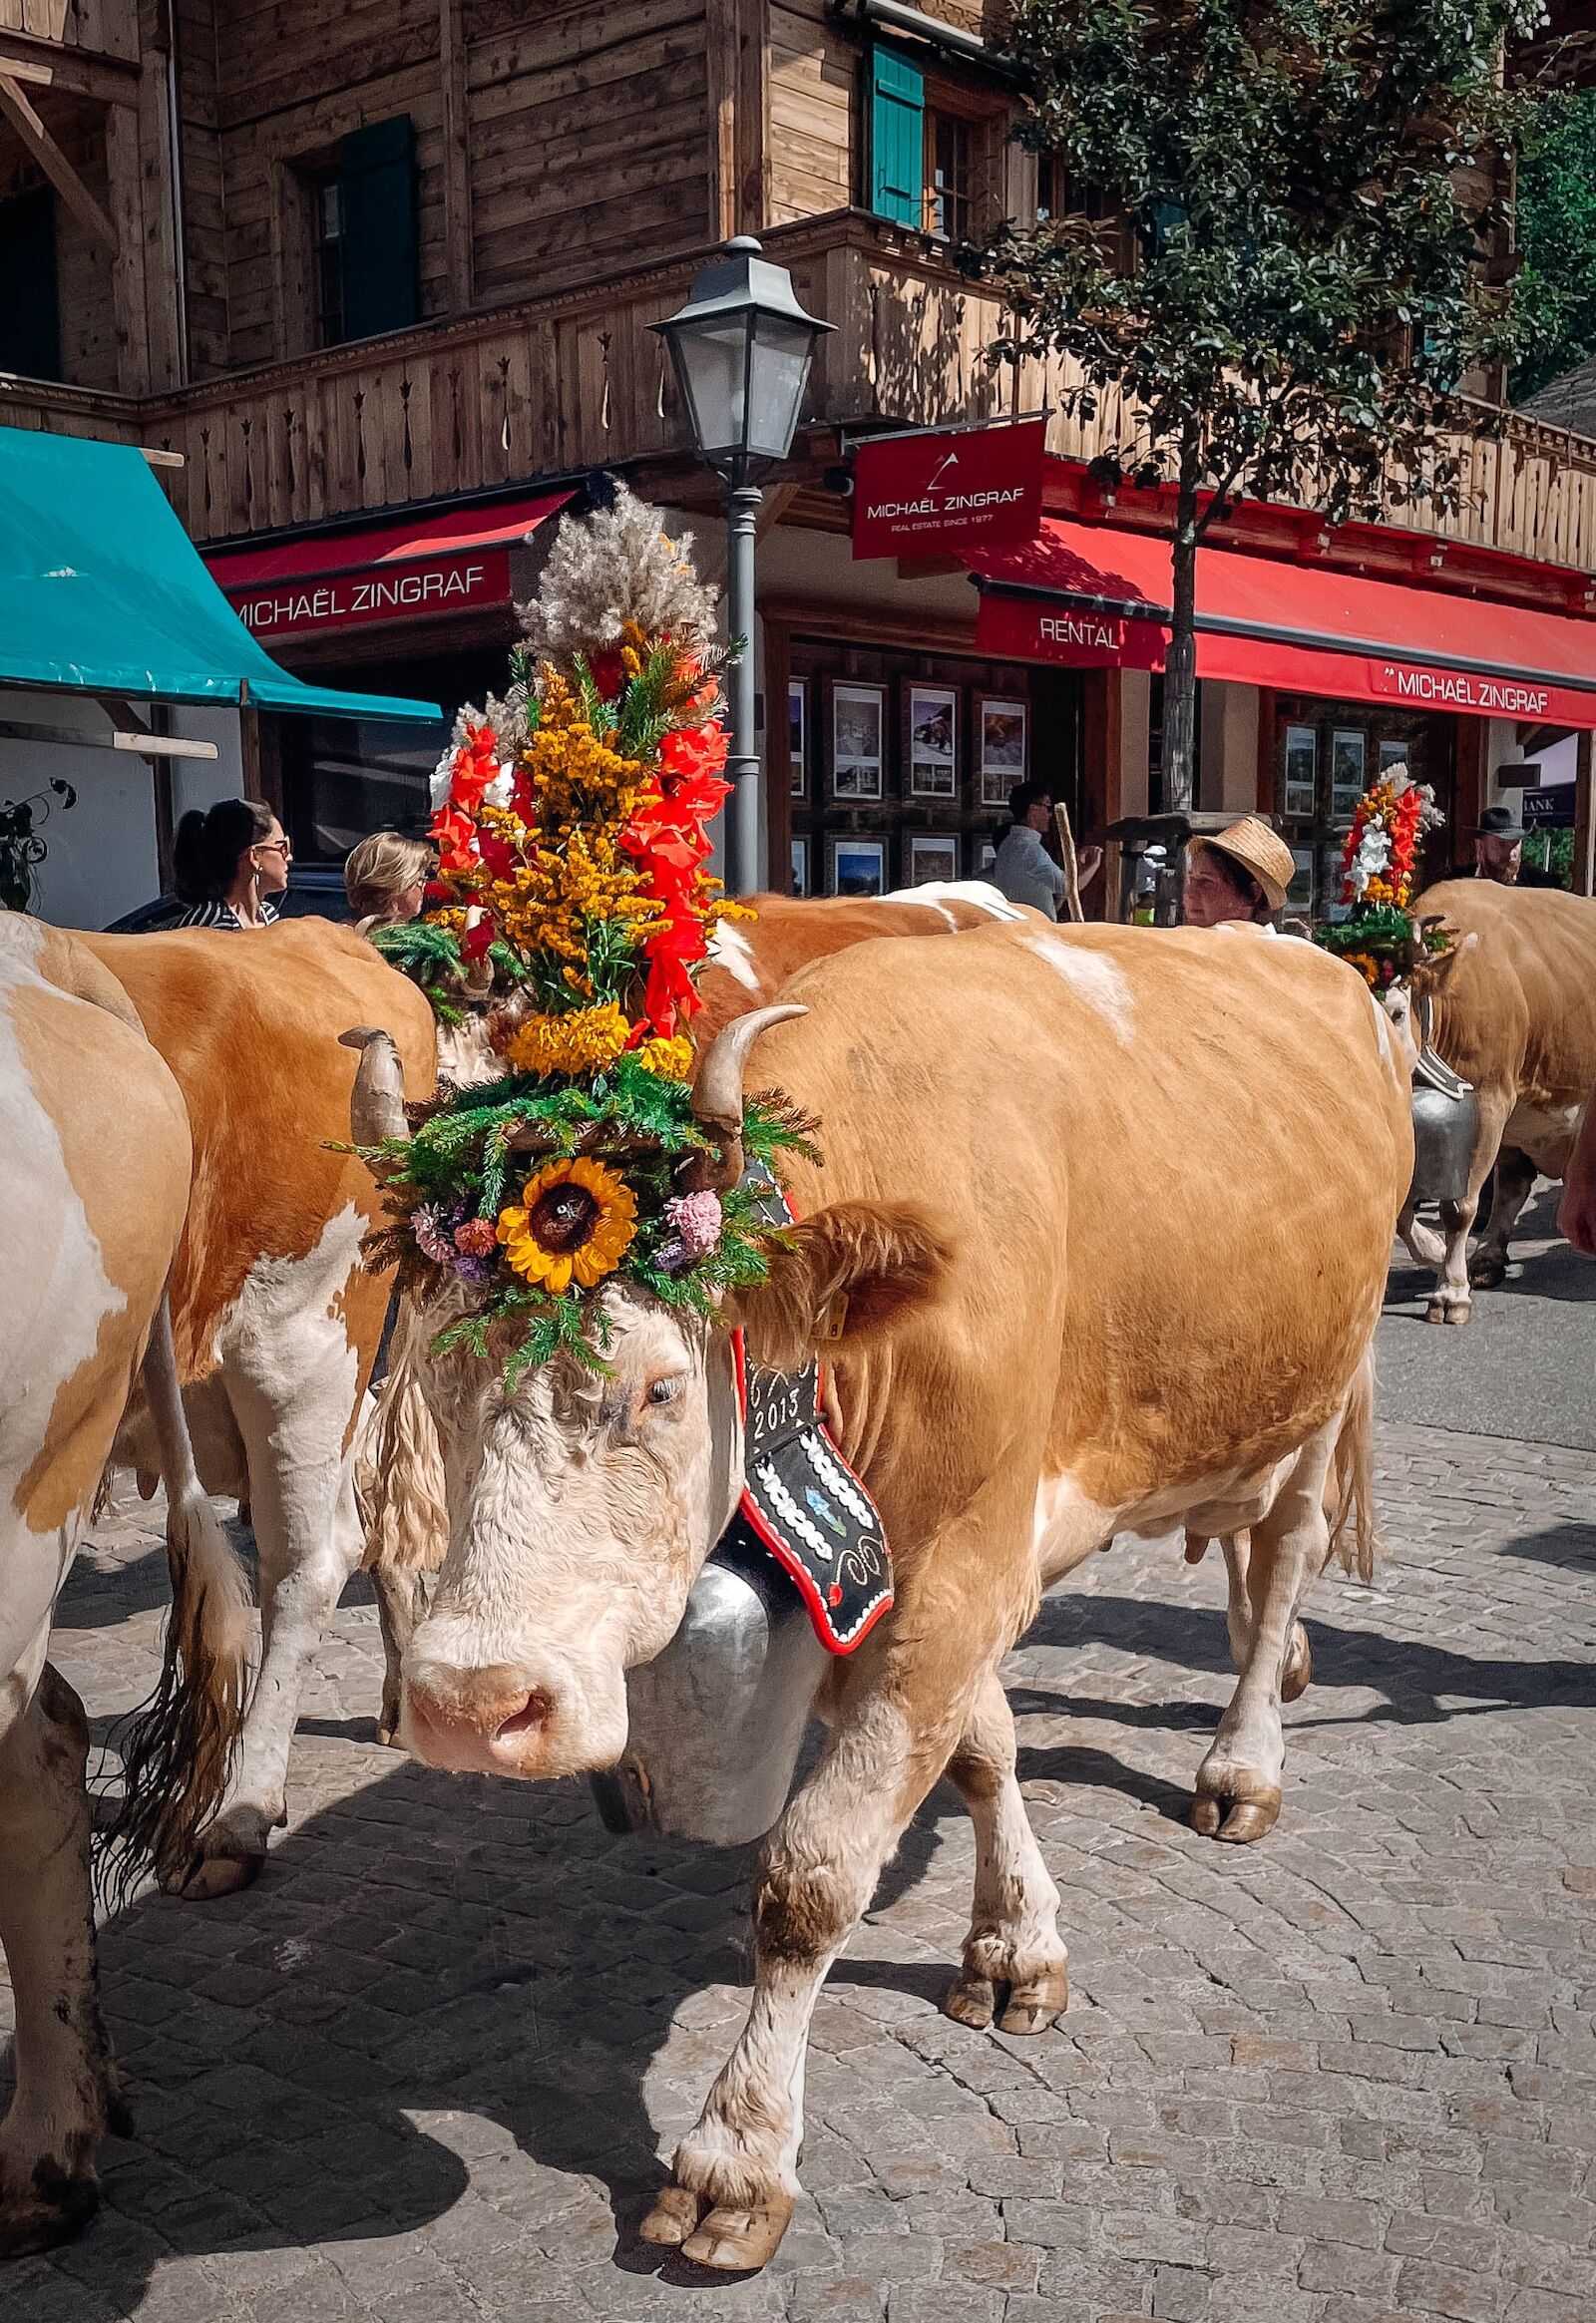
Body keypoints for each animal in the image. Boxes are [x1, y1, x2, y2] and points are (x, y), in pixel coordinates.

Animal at [346, 485, 1412, 2267]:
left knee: (1275, 1580)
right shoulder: (923, 1560)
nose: (467, 1704)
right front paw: (1015, 1941)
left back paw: (1246, 1761)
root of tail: (1311, 953)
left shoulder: (965, 1562)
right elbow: (981, 1748)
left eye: (656, 1390)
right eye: (427, 1381)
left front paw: (733, 2160)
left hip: (1320, 1383)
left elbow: (815, 1872)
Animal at [1394, 878, 1596, 1329]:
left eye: (1395, 1012)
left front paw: (1450, 1291)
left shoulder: (1489, 1099)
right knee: (1514, 1185)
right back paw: (1487, 1257)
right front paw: (1435, 1252)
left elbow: (1459, 1206)